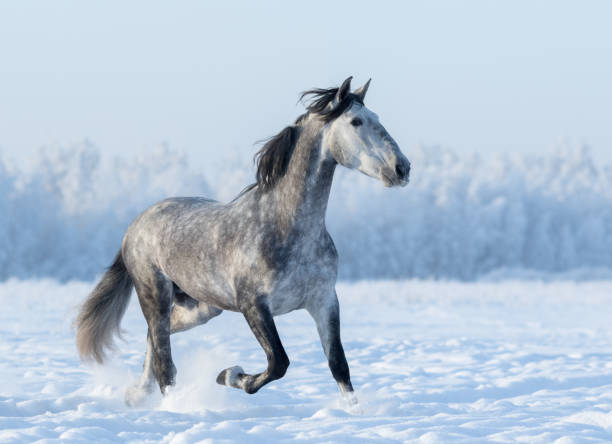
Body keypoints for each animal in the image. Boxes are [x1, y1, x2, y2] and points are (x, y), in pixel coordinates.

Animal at [76, 76, 412, 406]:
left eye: (376, 117)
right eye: (356, 121)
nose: (402, 168)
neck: (287, 229)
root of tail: (135, 225)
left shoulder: (324, 301)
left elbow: (339, 365)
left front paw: (354, 412)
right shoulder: (254, 305)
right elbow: (278, 363)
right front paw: (230, 375)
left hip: (201, 308)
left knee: (155, 339)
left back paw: (138, 394)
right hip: (154, 294)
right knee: (163, 357)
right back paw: (174, 402)